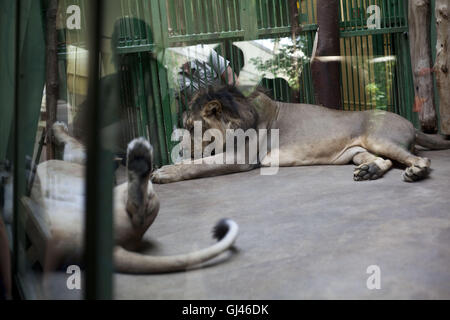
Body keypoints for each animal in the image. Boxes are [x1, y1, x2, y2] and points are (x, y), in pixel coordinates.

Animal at [30, 122, 239, 272]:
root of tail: (114, 246)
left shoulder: (78, 156)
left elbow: (71, 140)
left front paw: (57, 127)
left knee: (139, 214)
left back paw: (139, 157)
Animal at [153, 86, 450, 184]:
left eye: (191, 126)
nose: (179, 147)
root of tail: (410, 122)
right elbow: (196, 162)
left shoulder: (239, 158)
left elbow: (196, 165)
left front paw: (164, 171)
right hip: (357, 152)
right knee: (384, 160)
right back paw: (369, 172)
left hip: (379, 139)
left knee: (420, 160)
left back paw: (414, 172)